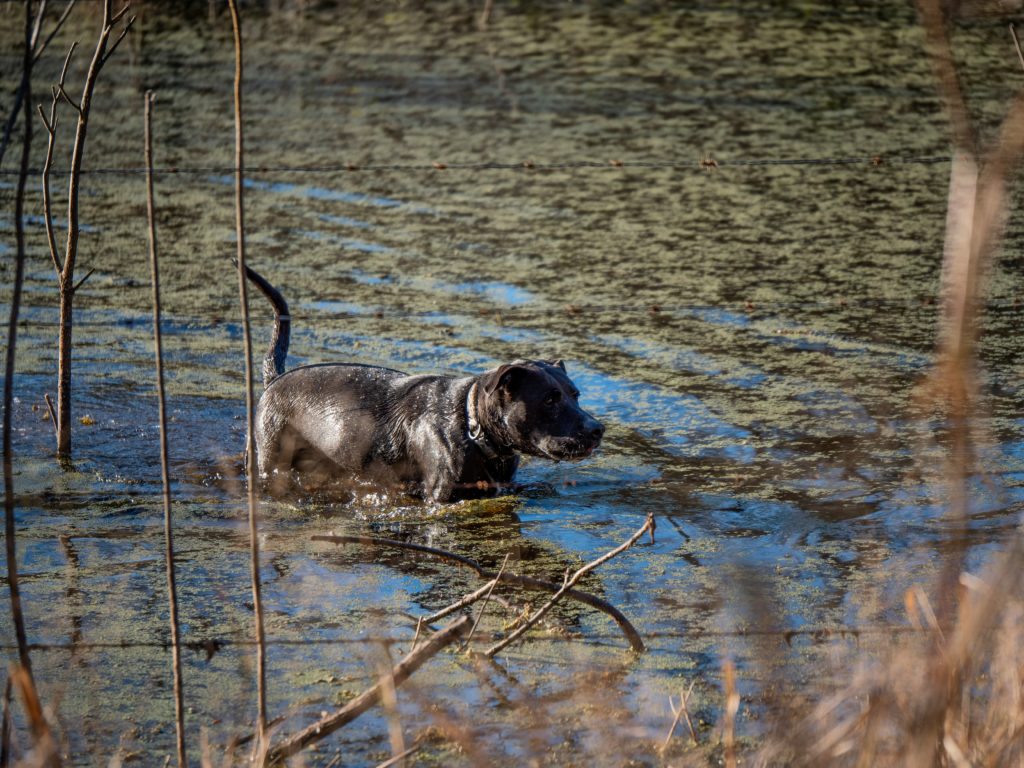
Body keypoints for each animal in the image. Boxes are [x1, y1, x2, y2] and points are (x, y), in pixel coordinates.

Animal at [244, 268, 602, 501]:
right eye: (550, 400)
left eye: (576, 395)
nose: (598, 428)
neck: (472, 427)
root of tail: (275, 379)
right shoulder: (439, 496)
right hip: (269, 456)